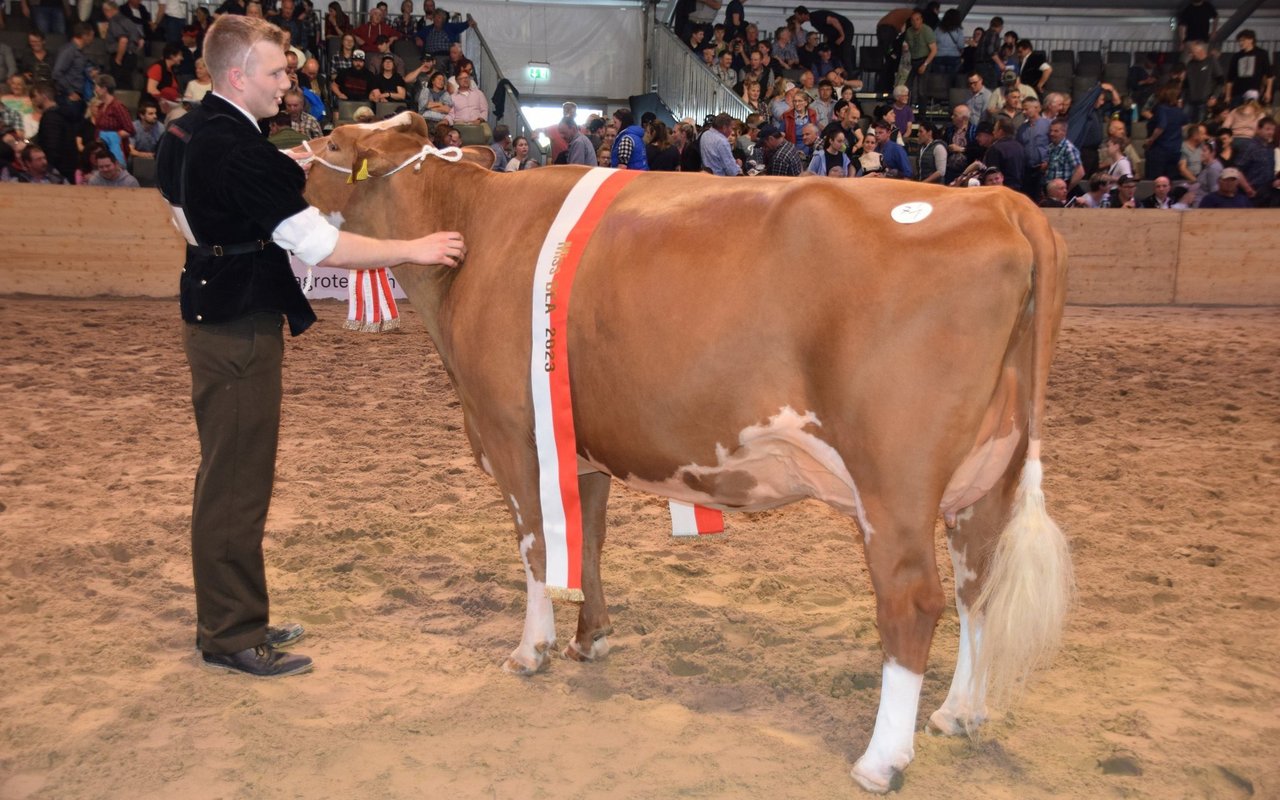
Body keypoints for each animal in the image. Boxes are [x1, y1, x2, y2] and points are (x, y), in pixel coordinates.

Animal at [297, 113, 1073, 793]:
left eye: (331, 142)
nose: (292, 169)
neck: (477, 234)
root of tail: (1003, 203)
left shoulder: (512, 431)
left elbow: (537, 546)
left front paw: (531, 651)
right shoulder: (580, 445)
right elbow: (589, 542)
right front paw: (590, 639)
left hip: (894, 483)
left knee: (912, 600)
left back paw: (880, 760)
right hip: (988, 476)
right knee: (978, 585)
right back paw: (958, 713)